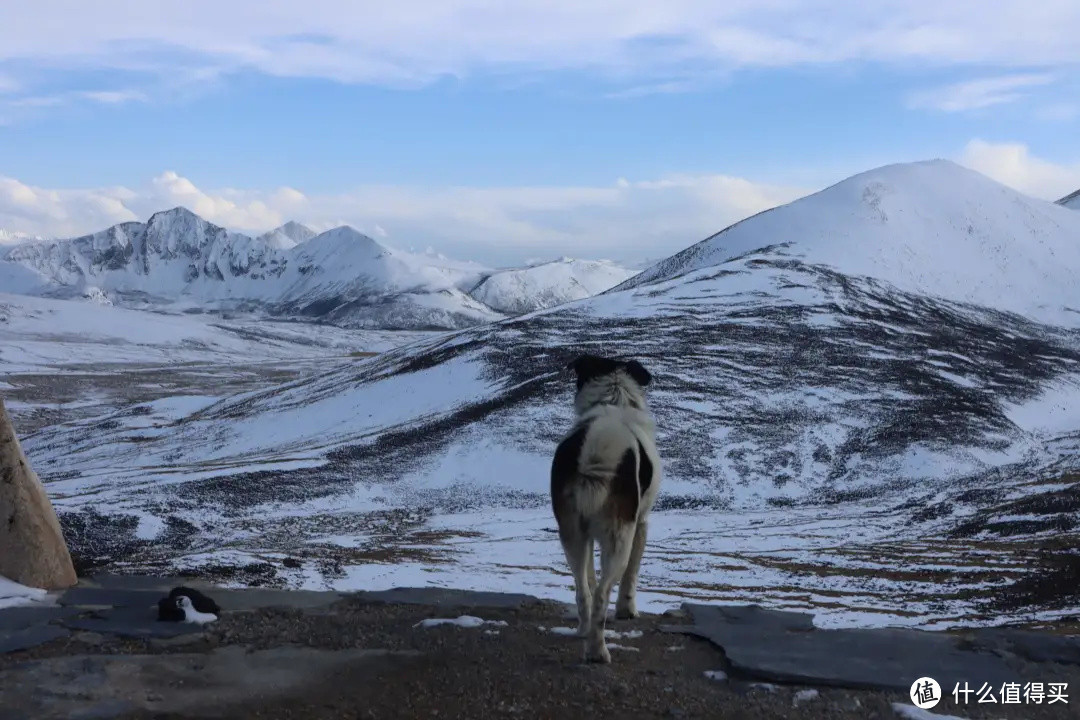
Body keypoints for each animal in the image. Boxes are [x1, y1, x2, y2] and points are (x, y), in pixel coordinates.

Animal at [552, 354, 660, 664]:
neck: (613, 401)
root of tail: (595, 451)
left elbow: (588, 577)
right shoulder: (641, 523)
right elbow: (632, 573)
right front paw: (627, 610)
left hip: (571, 533)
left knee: (583, 590)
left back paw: (584, 632)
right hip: (618, 536)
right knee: (602, 593)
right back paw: (598, 651)